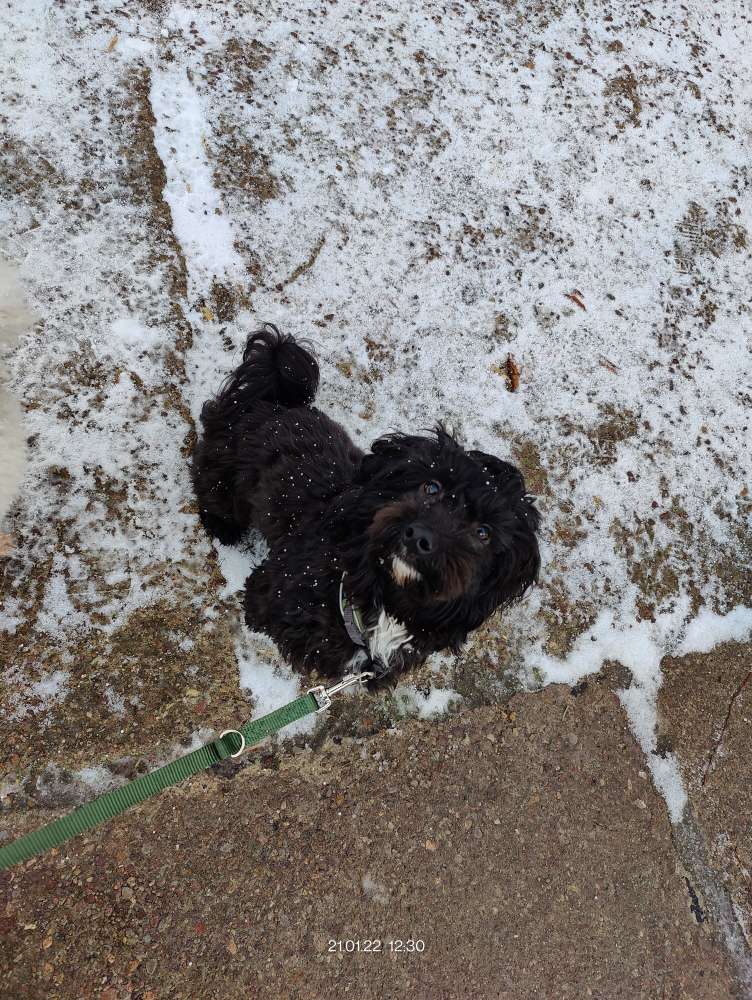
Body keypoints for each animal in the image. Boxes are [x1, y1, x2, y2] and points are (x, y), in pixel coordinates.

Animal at [191, 324, 536, 684]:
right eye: (431, 486)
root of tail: (277, 400)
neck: (381, 595)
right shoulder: (268, 593)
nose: (420, 537)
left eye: (484, 533)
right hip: (223, 475)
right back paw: (222, 528)